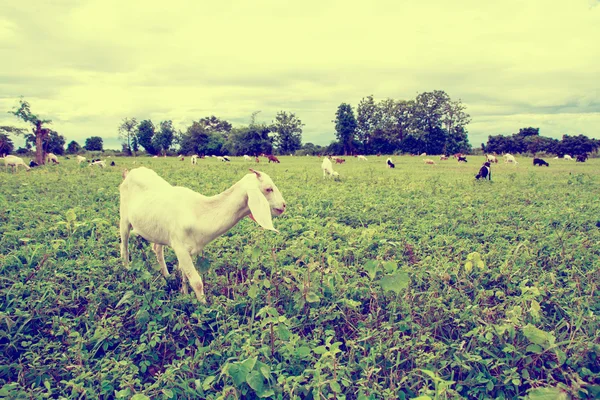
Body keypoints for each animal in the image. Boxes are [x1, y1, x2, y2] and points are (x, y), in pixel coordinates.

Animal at [119, 167, 286, 302]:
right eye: (268, 189)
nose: (283, 205)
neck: (198, 213)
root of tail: (130, 173)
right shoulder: (180, 248)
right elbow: (196, 281)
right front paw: (204, 307)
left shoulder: (188, 250)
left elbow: (184, 274)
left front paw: (185, 295)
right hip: (124, 218)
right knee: (124, 246)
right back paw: (127, 271)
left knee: (157, 249)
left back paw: (167, 276)